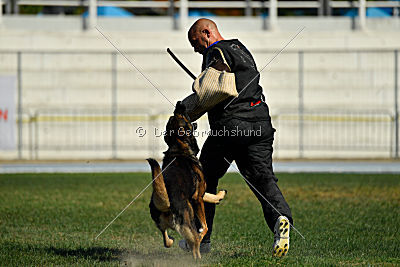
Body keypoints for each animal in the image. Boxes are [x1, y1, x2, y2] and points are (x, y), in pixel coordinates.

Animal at [147, 102, 227, 260]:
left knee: (166, 240)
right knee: (195, 239)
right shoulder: (197, 198)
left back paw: (172, 240)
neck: (178, 145)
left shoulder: (199, 192)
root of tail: (168, 203)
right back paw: (198, 255)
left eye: (173, 117)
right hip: (188, 218)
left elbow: (209, 195)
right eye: (182, 115)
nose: (180, 103)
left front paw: (219, 195)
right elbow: (205, 225)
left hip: (159, 222)